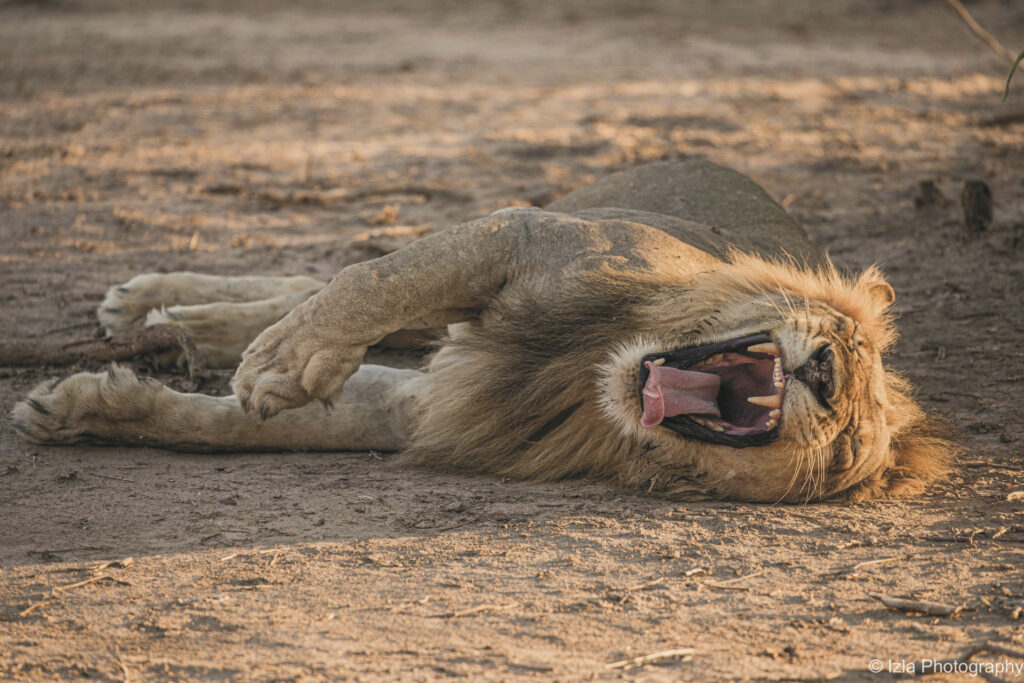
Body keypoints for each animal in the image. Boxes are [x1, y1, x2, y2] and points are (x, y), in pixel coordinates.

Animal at [9, 160, 950, 501]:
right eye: (843, 340)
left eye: (846, 441)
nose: (824, 373)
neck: (590, 378)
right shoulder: (525, 235)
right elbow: (374, 279)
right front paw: (279, 360)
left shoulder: (428, 409)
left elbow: (234, 428)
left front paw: (92, 410)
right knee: (321, 276)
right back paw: (161, 308)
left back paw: (176, 328)